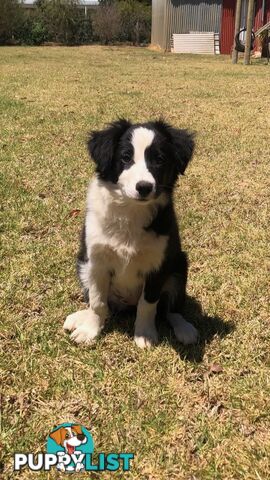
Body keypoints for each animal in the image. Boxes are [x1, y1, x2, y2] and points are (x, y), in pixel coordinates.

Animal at [63, 118, 198, 346]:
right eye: (126, 157)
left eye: (160, 159)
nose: (144, 187)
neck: (130, 209)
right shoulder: (96, 261)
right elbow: (98, 302)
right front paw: (90, 330)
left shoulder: (157, 265)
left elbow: (148, 305)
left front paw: (144, 335)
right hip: (82, 264)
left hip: (179, 266)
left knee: (171, 309)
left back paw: (185, 329)